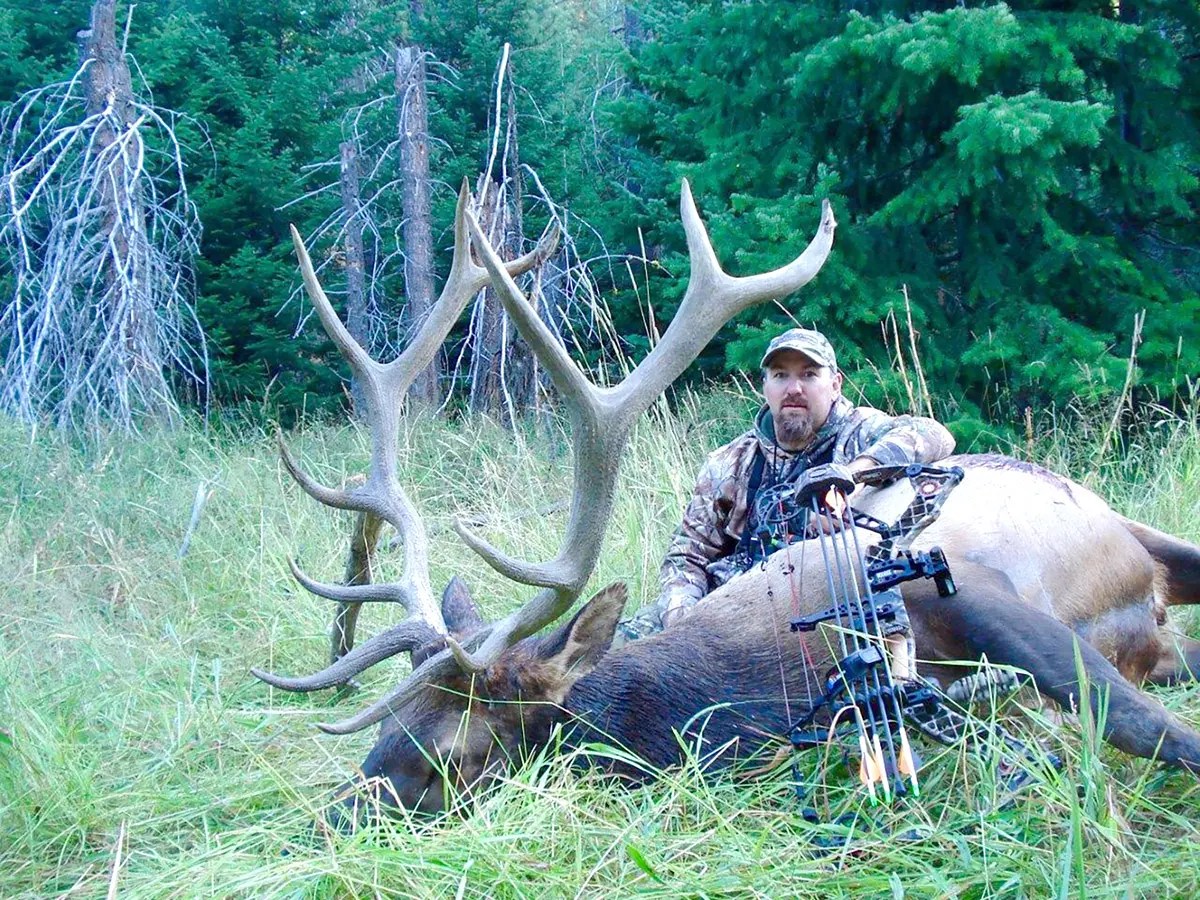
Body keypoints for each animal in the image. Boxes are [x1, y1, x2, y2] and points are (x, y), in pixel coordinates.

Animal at [254, 179, 1200, 817]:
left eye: (452, 754)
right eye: (388, 729)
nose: (331, 824)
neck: (757, 689)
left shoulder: (967, 591)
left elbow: (1151, 729)